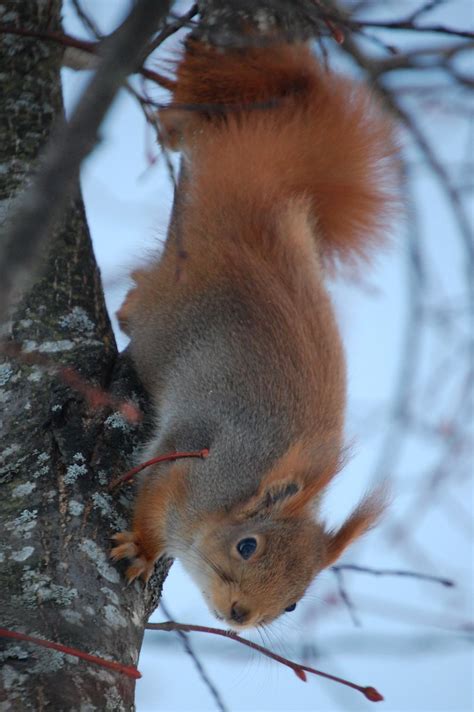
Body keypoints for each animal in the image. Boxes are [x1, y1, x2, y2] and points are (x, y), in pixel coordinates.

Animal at [111, 39, 396, 628]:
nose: (240, 613)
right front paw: (144, 548)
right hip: (168, 309)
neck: (241, 489)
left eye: (292, 604)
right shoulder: (194, 462)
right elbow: (153, 496)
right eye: (247, 546)